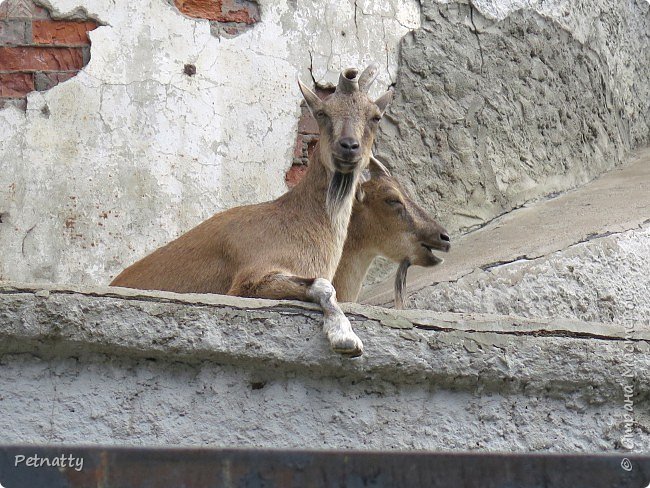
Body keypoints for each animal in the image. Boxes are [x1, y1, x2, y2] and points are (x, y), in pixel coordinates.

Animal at [109, 65, 392, 356]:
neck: (302, 223)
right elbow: (324, 286)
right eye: (323, 113)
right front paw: (345, 338)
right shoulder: (248, 281)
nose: (348, 147)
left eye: (375, 116)